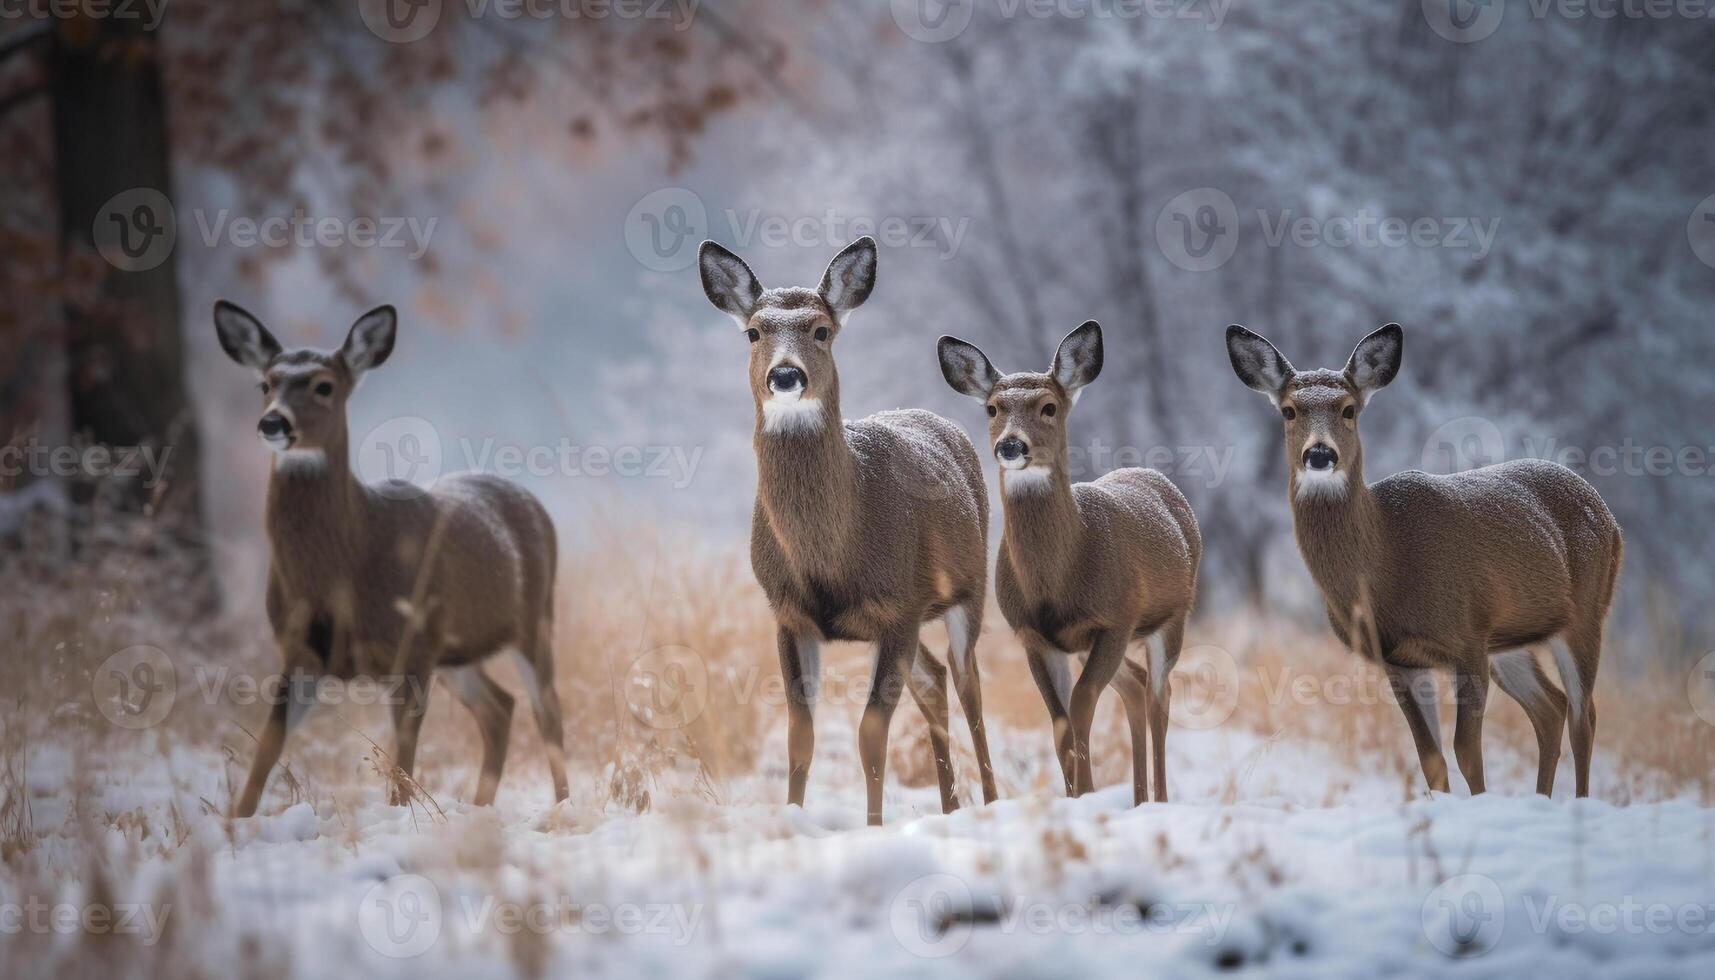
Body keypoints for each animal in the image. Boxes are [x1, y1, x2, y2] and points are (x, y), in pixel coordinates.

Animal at [214, 300, 569, 820]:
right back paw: (482, 808)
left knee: (548, 711)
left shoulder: (411, 644)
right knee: (500, 708)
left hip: (532, 621)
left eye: (324, 385)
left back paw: (563, 808)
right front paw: (236, 822)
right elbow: (267, 747)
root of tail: (533, 502)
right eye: (265, 383)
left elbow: (402, 764)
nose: (273, 423)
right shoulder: (301, 650)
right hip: (455, 652)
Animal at [692, 238, 1001, 827]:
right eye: (754, 332)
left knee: (969, 685)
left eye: (821, 330)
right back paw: (950, 807)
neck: (832, 558)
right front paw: (793, 816)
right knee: (934, 682)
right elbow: (800, 735)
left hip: (968, 590)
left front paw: (874, 826)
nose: (785, 376)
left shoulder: (900, 605)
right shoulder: (788, 613)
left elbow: (870, 735)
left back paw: (993, 802)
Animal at [939, 322, 1207, 806]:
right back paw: (1137, 798)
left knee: (1160, 696)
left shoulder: (1115, 618)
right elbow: (1060, 720)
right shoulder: (1033, 634)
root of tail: (1157, 478)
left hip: (1172, 616)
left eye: (1048, 406)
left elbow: (1082, 705)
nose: (1011, 444)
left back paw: (1158, 799)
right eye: (992, 408)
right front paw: (1078, 795)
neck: (1057, 581)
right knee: (1135, 684)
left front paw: (1084, 792)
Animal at [1221, 326, 1618, 799]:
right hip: (1510, 641)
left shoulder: (1466, 637)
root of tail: (1606, 514)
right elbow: (1430, 758)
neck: (1389, 563)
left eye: (1349, 409)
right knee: (1551, 709)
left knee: (1583, 716)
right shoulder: (1401, 660)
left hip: (1586, 613)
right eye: (1289, 410)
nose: (1320, 454)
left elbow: (1467, 751)